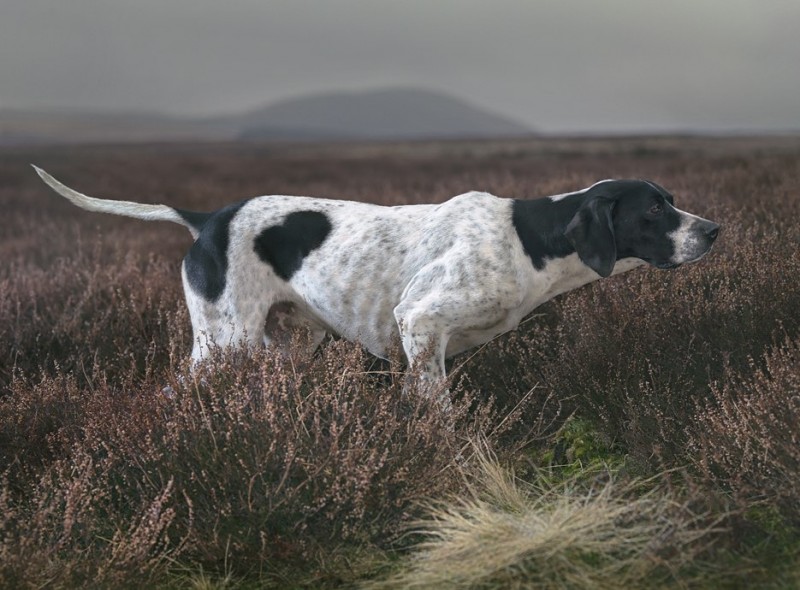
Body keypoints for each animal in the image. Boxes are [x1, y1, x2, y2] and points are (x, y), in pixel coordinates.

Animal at [32, 166, 720, 388]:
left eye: (672, 200)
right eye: (653, 210)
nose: (713, 229)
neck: (531, 241)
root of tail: (207, 220)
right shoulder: (420, 324)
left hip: (287, 344)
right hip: (223, 343)